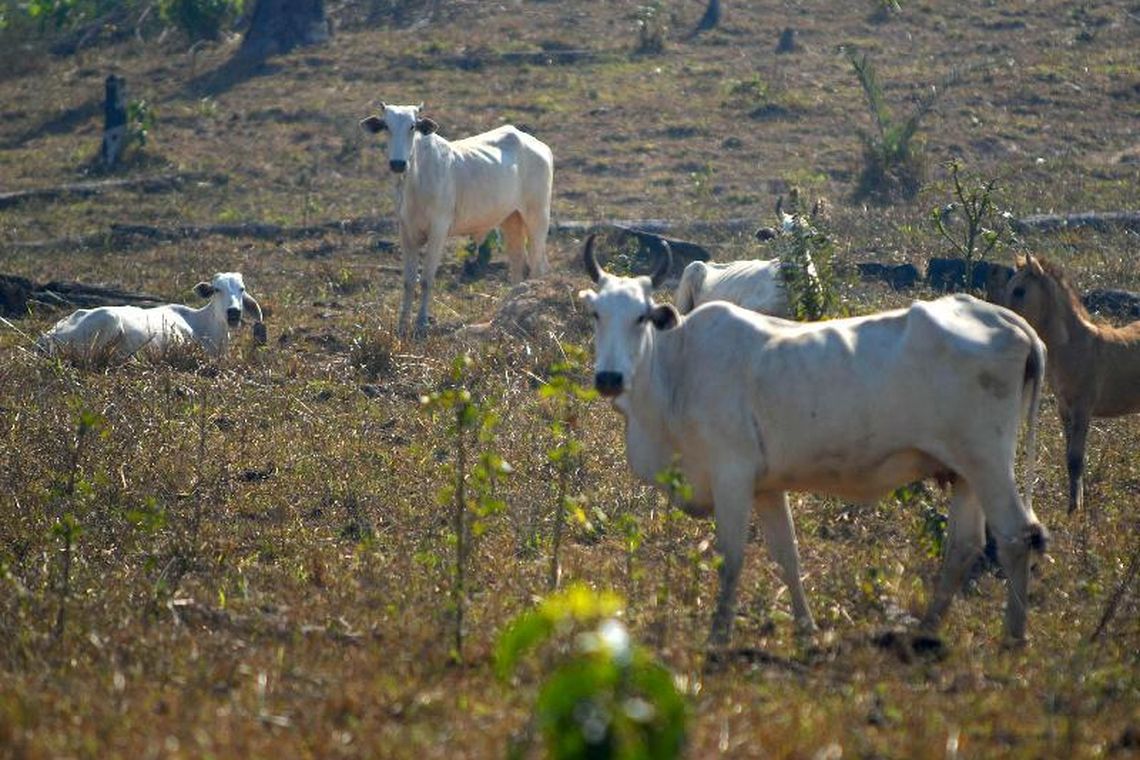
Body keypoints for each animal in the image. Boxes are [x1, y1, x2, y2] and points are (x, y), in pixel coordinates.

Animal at [355, 102, 551, 337]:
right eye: (386, 126)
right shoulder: (406, 231)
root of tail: (538, 145)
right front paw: (402, 324)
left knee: (538, 267)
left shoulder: (438, 230)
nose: (397, 164)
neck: (415, 179)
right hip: (511, 219)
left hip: (537, 216)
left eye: (412, 126)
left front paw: (422, 322)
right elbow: (409, 281)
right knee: (517, 265)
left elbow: (427, 279)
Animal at [579, 234, 1048, 647]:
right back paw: (927, 629)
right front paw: (807, 630)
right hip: (965, 471)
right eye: (597, 314)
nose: (609, 378)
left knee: (1016, 535)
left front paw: (718, 636)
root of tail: (1011, 321)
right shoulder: (766, 488)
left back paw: (1014, 635)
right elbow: (787, 555)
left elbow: (731, 558)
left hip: (988, 461)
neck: (677, 369)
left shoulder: (732, 475)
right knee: (964, 546)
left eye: (641, 316)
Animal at [1003, 254, 1140, 510]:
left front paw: (1074, 510)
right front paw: (1075, 503)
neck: (1074, 346)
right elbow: (1069, 457)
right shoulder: (1064, 410)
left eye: (1019, 290)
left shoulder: (1082, 408)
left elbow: (1076, 459)